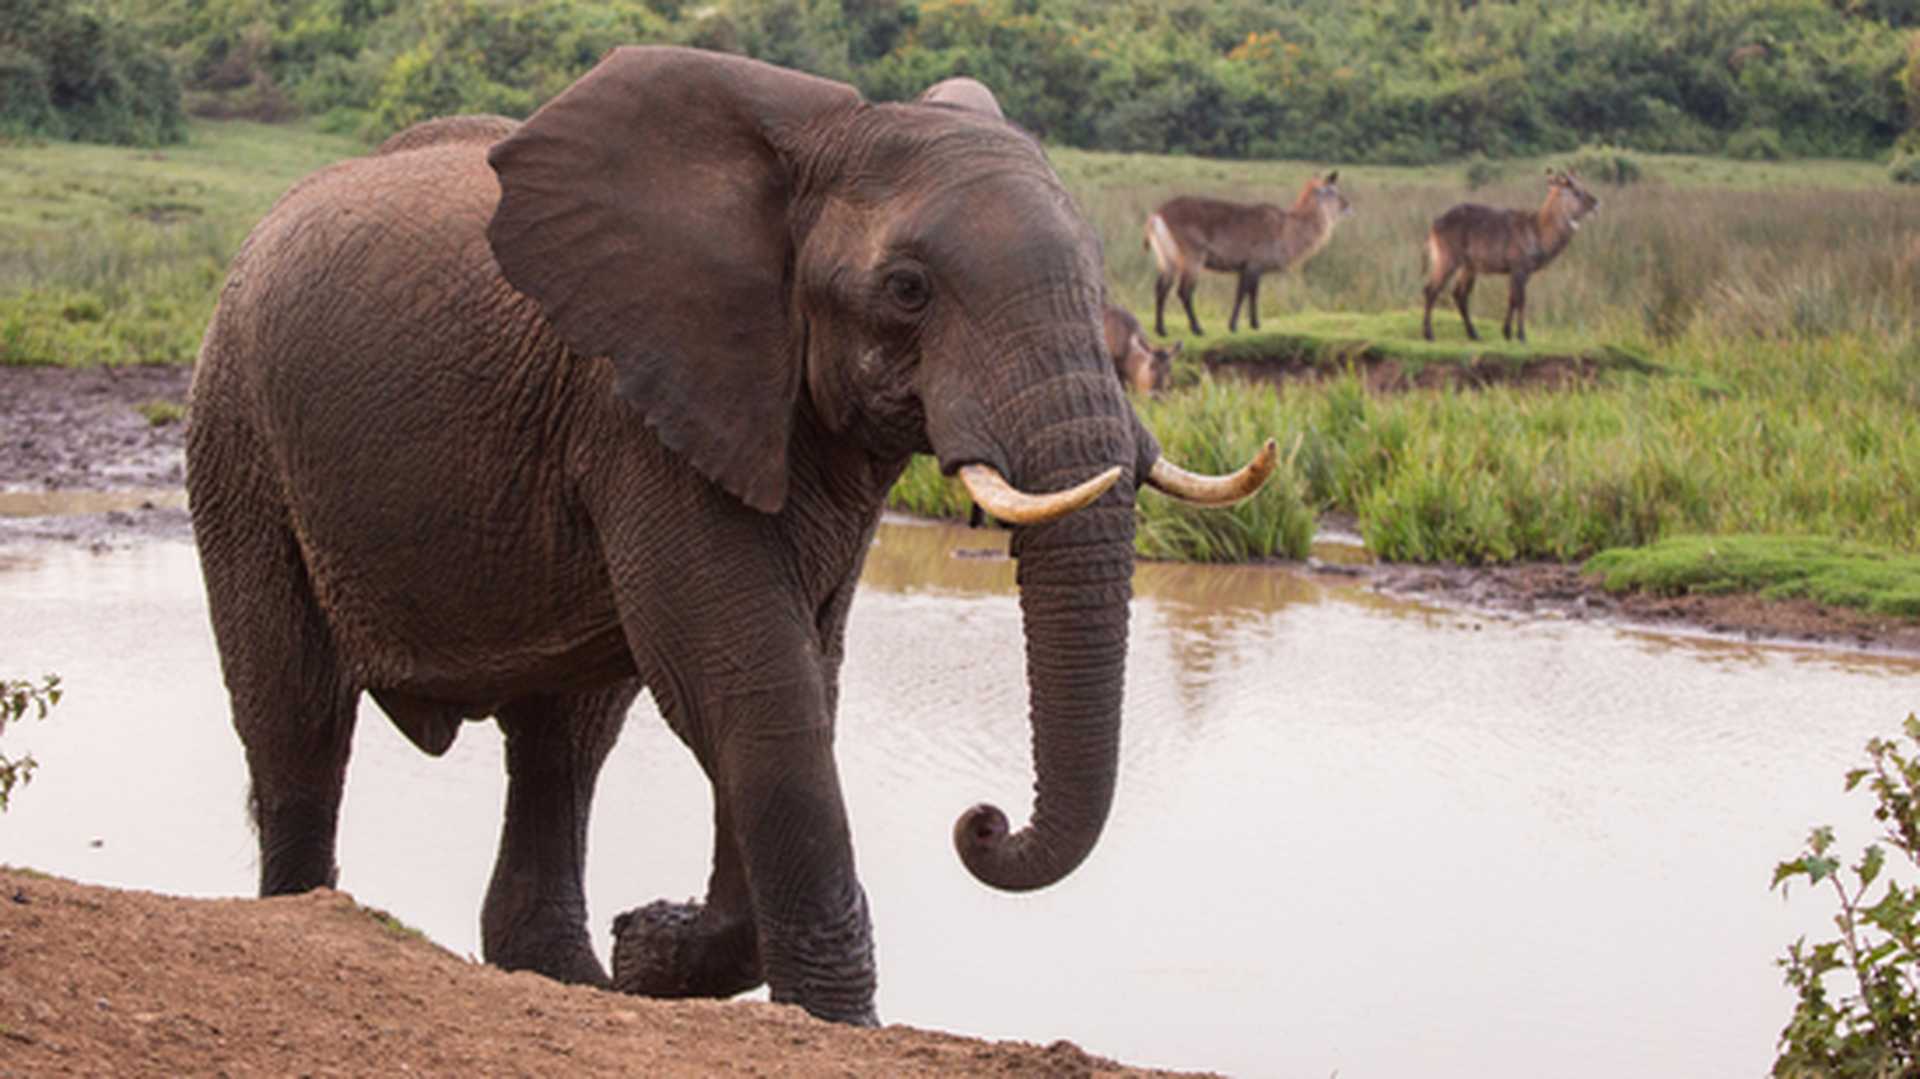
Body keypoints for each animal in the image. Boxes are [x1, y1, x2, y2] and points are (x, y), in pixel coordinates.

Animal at [186, 46, 1274, 1025]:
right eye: (908, 289)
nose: (982, 819)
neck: (810, 153)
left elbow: (800, 672)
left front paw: (652, 949)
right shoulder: (638, 403)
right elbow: (747, 671)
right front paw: (818, 1013)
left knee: (563, 739)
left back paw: (574, 977)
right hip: (237, 429)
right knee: (297, 708)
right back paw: (312, 912)